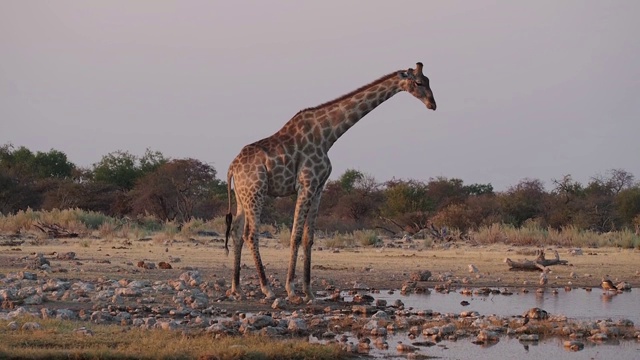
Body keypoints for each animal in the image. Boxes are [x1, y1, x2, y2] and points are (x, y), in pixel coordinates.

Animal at [224, 61, 436, 300]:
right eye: (418, 82)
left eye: (428, 81)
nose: (432, 104)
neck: (328, 136)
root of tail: (232, 167)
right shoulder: (306, 184)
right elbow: (295, 235)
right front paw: (291, 289)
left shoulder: (319, 187)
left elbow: (309, 238)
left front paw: (309, 291)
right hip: (256, 192)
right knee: (251, 235)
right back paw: (267, 288)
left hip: (242, 195)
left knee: (237, 233)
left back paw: (237, 288)